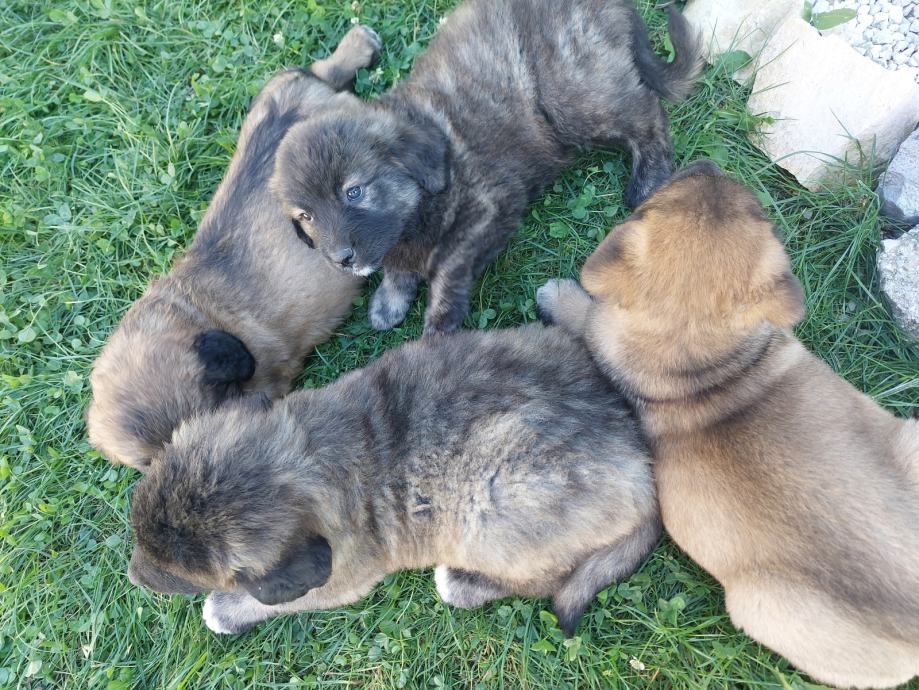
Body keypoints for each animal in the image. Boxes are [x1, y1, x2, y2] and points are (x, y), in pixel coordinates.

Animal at [127, 324, 660, 637]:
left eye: (187, 577)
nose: (134, 578)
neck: (303, 457)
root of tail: (642, 463)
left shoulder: (340, 580)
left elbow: (274, 601)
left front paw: (225, 610)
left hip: (493, 513)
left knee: (545, 579)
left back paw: (464, 581)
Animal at [271, 0, 703, 335]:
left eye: (354, 191)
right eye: (305, 216)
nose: (341, 259)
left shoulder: (490, 205)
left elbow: (446, 266)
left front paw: (438, 325)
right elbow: (398, 265)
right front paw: (389, 301)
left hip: (574, 96)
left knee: (647, 111)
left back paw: (650, 180)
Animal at [536, 160, 919, 688]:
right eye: (756, 209)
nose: (707, 163)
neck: (699, 362)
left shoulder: (603, 334)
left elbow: (587, 314)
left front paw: (559, 296)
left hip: (759, 608)